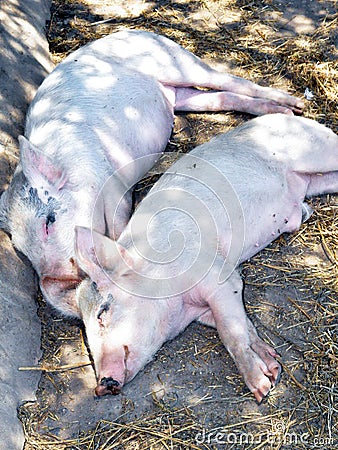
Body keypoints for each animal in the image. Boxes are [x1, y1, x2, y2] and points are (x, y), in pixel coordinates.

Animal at [0, 29, 304, 316]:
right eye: (21, 249)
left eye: (49, 221)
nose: (55, 282)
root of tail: (128, 32)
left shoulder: (116, 188)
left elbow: (119, 225)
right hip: (180, 95)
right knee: (216, 98)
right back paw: (284, 110)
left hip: (177, 62)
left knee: (229, 81)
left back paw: (293, 106)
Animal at [74, 114, 338, 402]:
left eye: (103, 311)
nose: (101, 386)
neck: (181, 305)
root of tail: (292, 118)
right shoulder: (207, 311)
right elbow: (243, 326)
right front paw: (272, 366)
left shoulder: (219, 278)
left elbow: (230, 332)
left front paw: (261, 389)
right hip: (317, 181)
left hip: (316, 151)